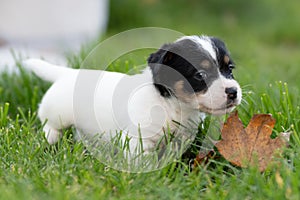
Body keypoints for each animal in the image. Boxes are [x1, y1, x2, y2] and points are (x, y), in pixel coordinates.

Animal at [24, 35, 243, 158]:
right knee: (51, 125)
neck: (170, 104)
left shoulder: (181, 138)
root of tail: (67, 73)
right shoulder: (139, 138)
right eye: (200, 75)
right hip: (57, 113)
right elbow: (142, 160)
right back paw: (51, 138)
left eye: (230, 69)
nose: (233, 92)